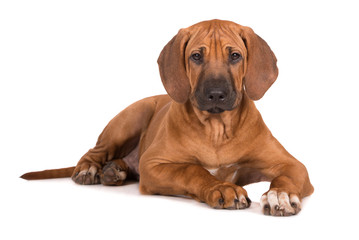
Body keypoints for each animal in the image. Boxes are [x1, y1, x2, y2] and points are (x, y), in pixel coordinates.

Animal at [22, 19, 316, 217]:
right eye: (196, 56)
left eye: (235, 56)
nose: (216, 94)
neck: (217, 129)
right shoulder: (154, 164)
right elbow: (192, 170)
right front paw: (221, 187)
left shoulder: (293, 165)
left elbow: (286, 178)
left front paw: (279, 196)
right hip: (130, 119)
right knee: (95, 151)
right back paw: (91, 169)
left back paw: (114, 170)